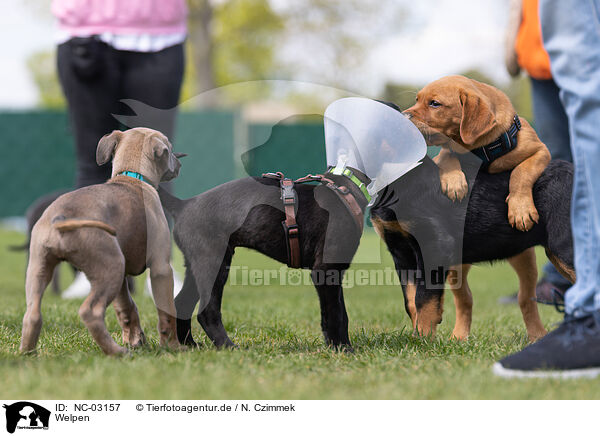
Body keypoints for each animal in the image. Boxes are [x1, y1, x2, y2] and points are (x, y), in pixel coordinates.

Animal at [157, 169, 368, 350]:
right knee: (207, 311)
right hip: (213, 264)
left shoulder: (336, 272)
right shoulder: (324, 270)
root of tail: (183, 204)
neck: (346, 191)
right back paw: (228, 346)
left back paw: (190, 345)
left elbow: (343, 313)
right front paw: (341, 349)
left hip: (197, 267)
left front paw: (344, 346)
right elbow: (334, 313)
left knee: (182, 303)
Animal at [406, 75, 552, 232]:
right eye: (417, 100)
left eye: (434, 103)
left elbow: (521, 172)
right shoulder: (441, 154)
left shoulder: (541, 150)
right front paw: (454, 182)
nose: (403, 116)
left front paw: (521, 209)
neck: (480, 149)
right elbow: (447, 156)